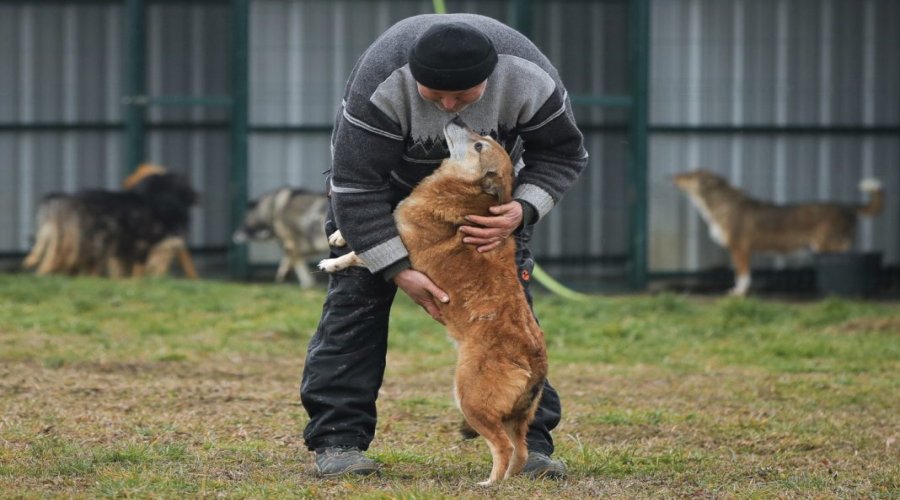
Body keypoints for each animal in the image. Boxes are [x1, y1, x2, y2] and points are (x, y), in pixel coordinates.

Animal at [22, 170, 198, 276]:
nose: (197, 195)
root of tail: (70, 198)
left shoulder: (123, 253)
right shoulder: (143, 246)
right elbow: (141, 271)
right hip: (91, 243)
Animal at [672, 170, 884, 294]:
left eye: (689, 175)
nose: (672, 176)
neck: (721, 202)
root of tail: (848, 206)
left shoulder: (740, 248)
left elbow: (742, 274)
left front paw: (739, 293)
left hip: (827, 245)